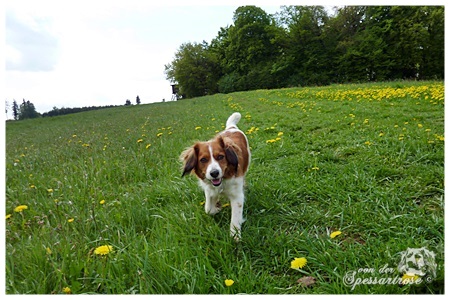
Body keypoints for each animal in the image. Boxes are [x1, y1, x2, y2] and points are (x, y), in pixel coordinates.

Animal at [179, 112, 250, 241]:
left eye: (221, 157)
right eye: (203, 160)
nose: (214, 173)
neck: (223, 181)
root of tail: (231, 127)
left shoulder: (237, 196)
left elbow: (235, 218)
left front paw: (235, 236)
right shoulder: (209, 190)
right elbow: (208, 209)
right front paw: (217, 208)